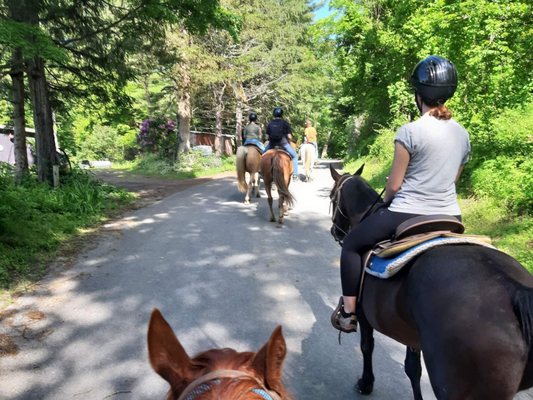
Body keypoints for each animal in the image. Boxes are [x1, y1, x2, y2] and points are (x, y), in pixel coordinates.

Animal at [328, 165, 532, 400]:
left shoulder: (364, 315)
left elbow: (366, 346)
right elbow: (412, 368)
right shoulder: (411, 333)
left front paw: (366, 383)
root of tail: (514, 289)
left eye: (332, 197)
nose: (335, 231)